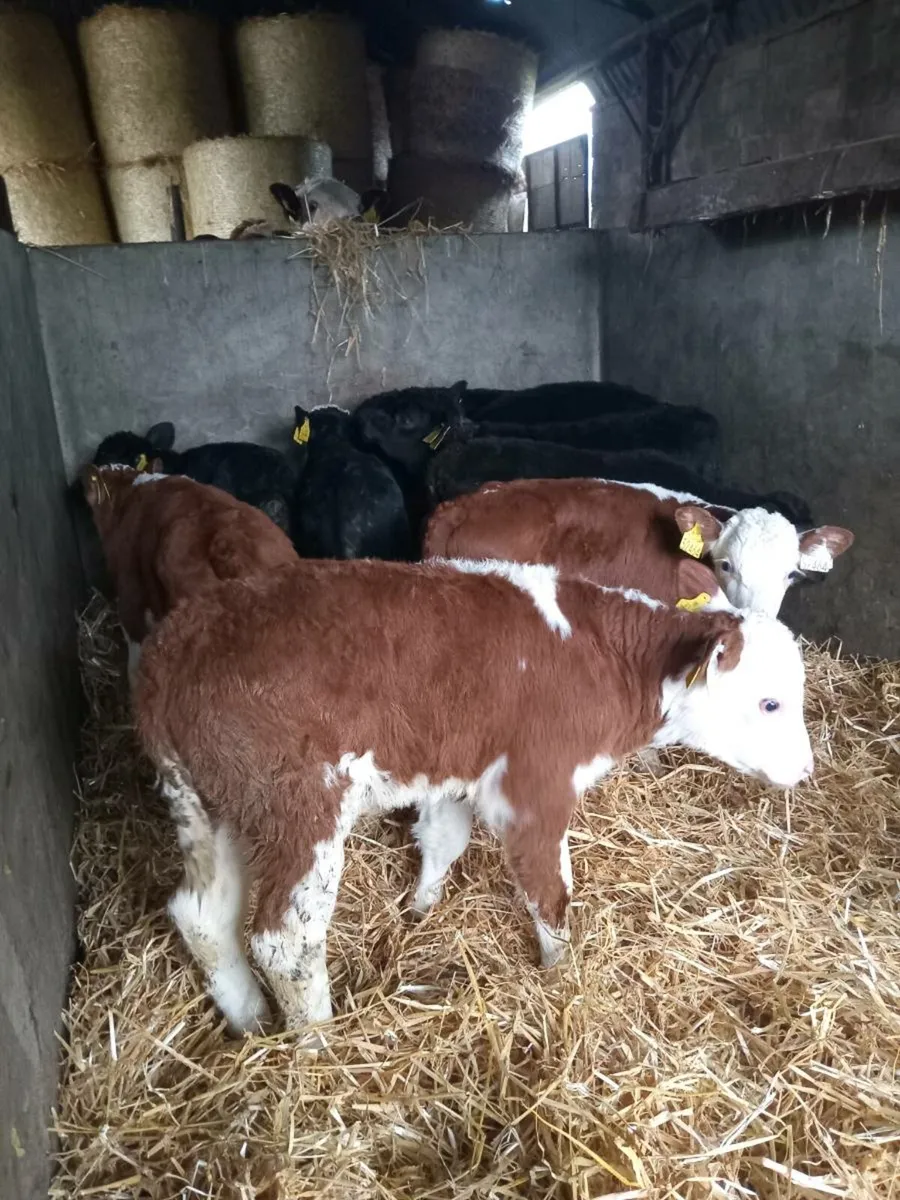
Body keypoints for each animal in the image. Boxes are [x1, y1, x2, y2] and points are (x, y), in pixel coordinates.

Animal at [133, 553, 813, 1037]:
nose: (806, 769)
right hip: (301, 804)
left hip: (206, 804)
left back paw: (248, 1020)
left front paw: (422, 909)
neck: (605, 658)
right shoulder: (535, 785)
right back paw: (318, 1043)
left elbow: (443, 839)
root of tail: (174, 647)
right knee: (286, 938)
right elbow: (548, 889)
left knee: (202, 915)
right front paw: (560, 970)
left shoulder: (461, 769)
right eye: (769, 702)